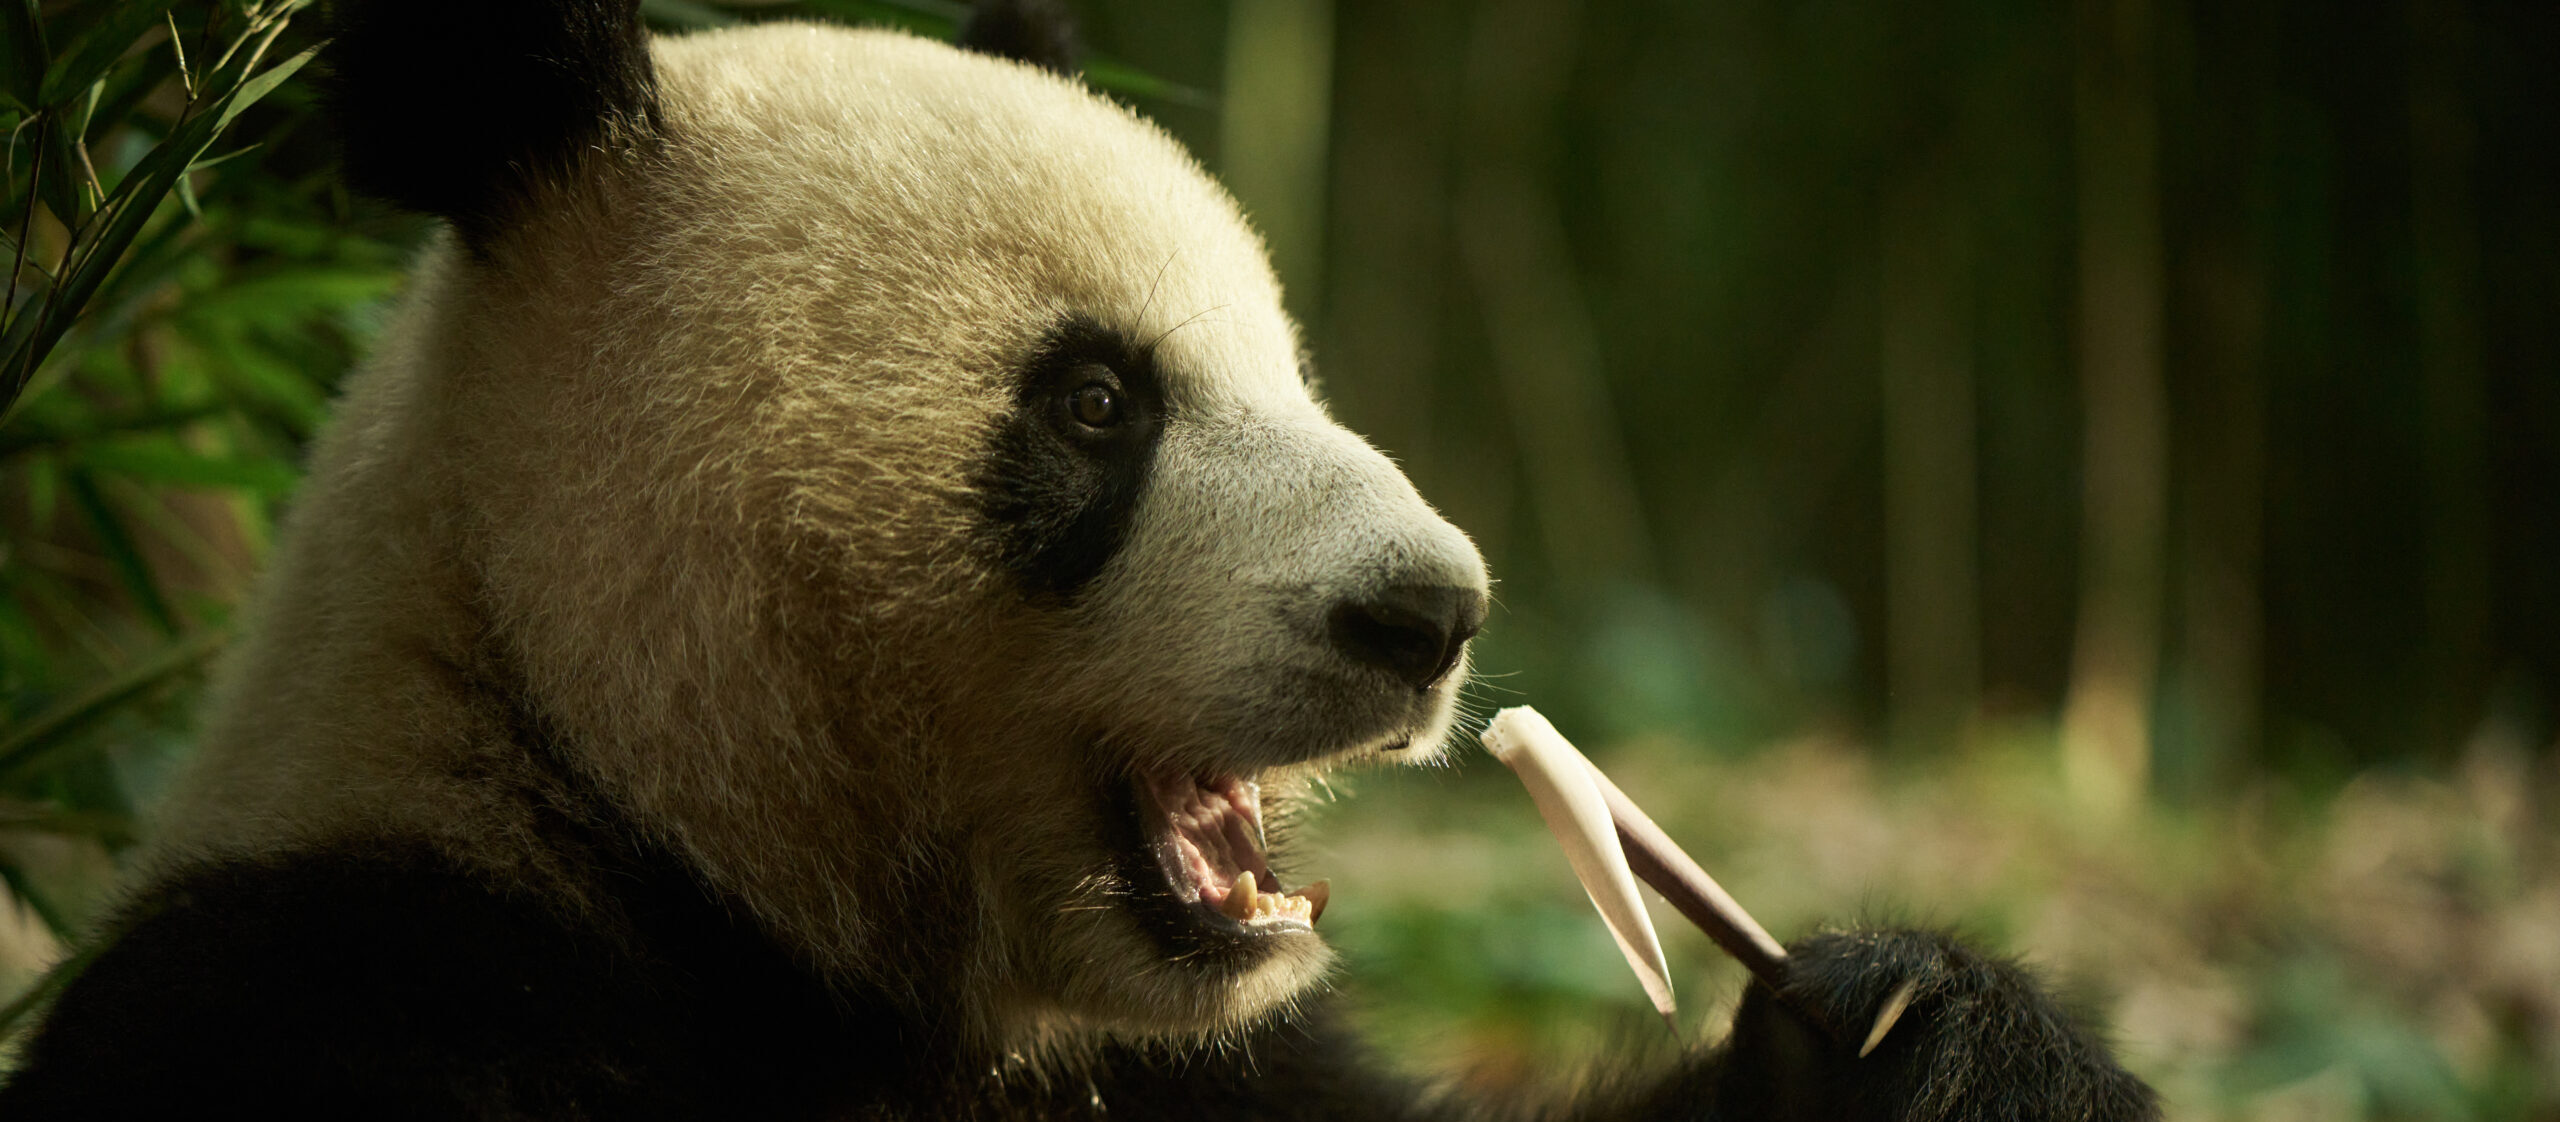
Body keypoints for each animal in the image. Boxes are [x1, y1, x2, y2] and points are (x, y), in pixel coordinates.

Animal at [0, 2, 2159, 1119]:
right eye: (1098, 402)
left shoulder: (1224, 1075)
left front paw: (1933, 1039)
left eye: (1285, 360)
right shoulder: (371, 991)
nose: (1429, 616)